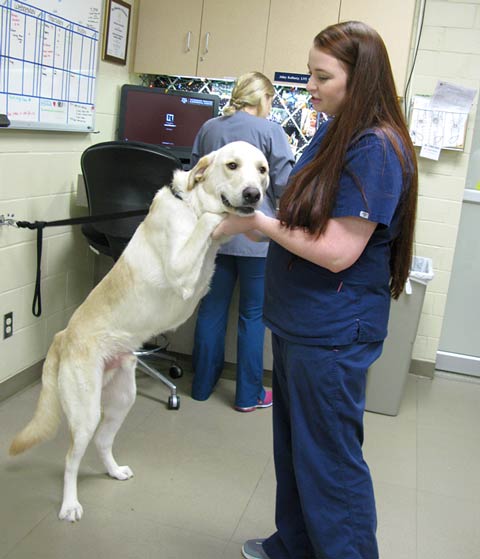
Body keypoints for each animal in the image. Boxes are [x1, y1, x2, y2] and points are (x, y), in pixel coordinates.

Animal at [9, 141, 270, 524]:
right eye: (232, 165)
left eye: (262, 169)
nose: (254, 194)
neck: (189, 204)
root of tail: (62, 335)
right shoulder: (181, 267)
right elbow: (212, 219)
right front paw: (222, 217)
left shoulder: (198, 277)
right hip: (85, 412)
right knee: (71, 458)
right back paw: (70, 505)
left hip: (122, 398)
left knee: (103, 441)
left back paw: (115, 471)